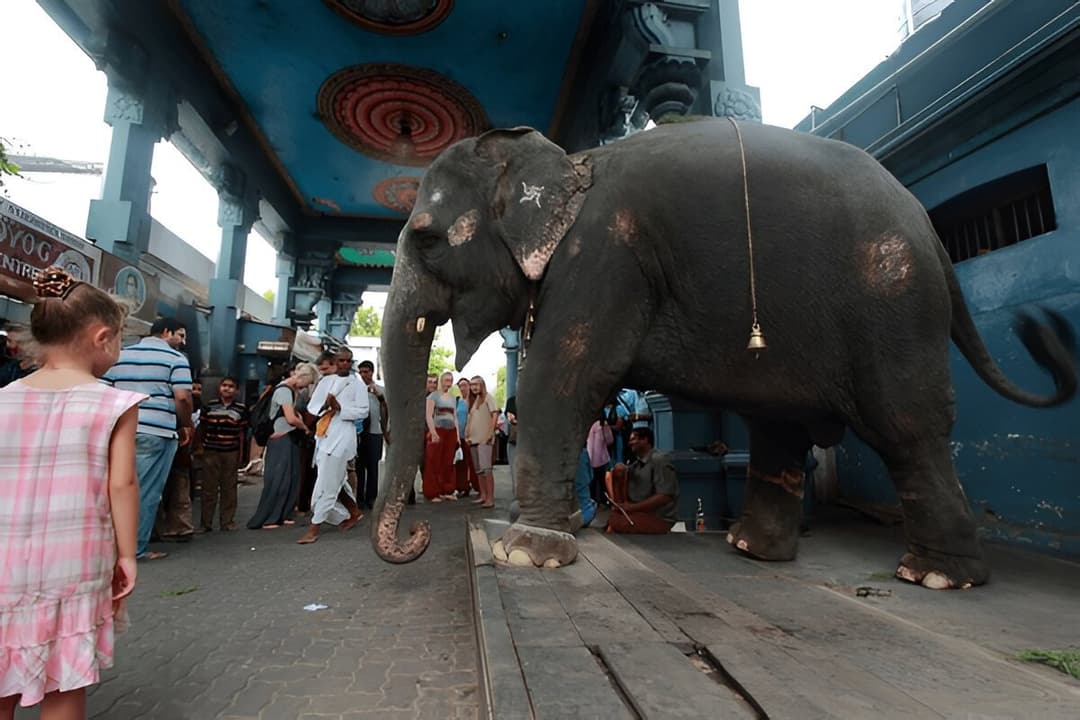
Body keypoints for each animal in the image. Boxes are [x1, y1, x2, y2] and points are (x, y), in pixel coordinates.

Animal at [370, 119, 1076, 590]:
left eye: (428, 240)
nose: (417, 537)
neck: (566, 164)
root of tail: (928, 227)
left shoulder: (605, 258)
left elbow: (563, 376)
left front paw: (524, 551)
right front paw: (545, 531)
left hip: (894, 300)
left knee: (906, 425)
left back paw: (934, 576)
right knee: (779, 428)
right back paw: (752, 548)